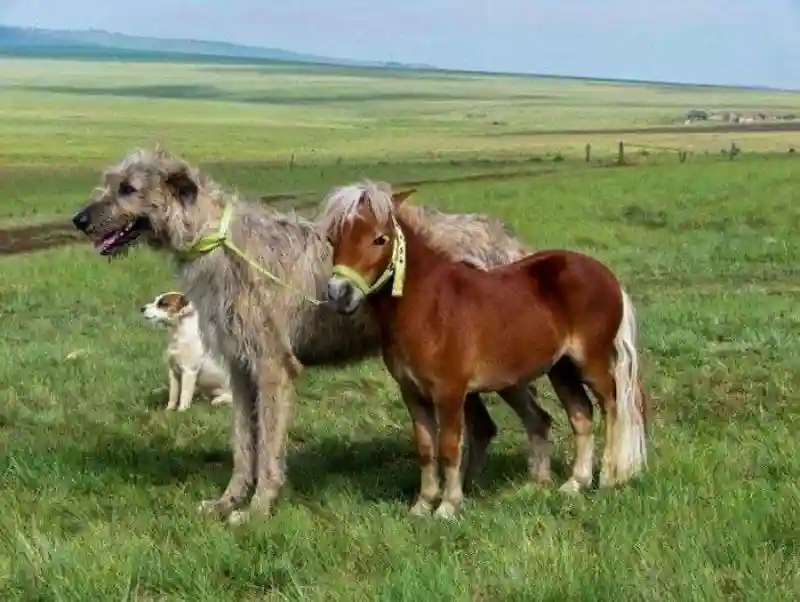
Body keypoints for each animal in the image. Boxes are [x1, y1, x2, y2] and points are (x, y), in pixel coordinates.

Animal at [316, 183, 648, 516]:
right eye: (332, 239)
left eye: (379, 239)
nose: (339, 295)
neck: (429, 306)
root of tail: (606, 275)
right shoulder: (412, 393)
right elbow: (425, 448)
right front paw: (422, 506)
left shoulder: (450, 393)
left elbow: (449, 447)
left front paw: (447, 507)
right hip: (561, 369)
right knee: (581, 413)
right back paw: (575, 483)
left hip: (590, 363)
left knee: (612, 407)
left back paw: (608, 478)